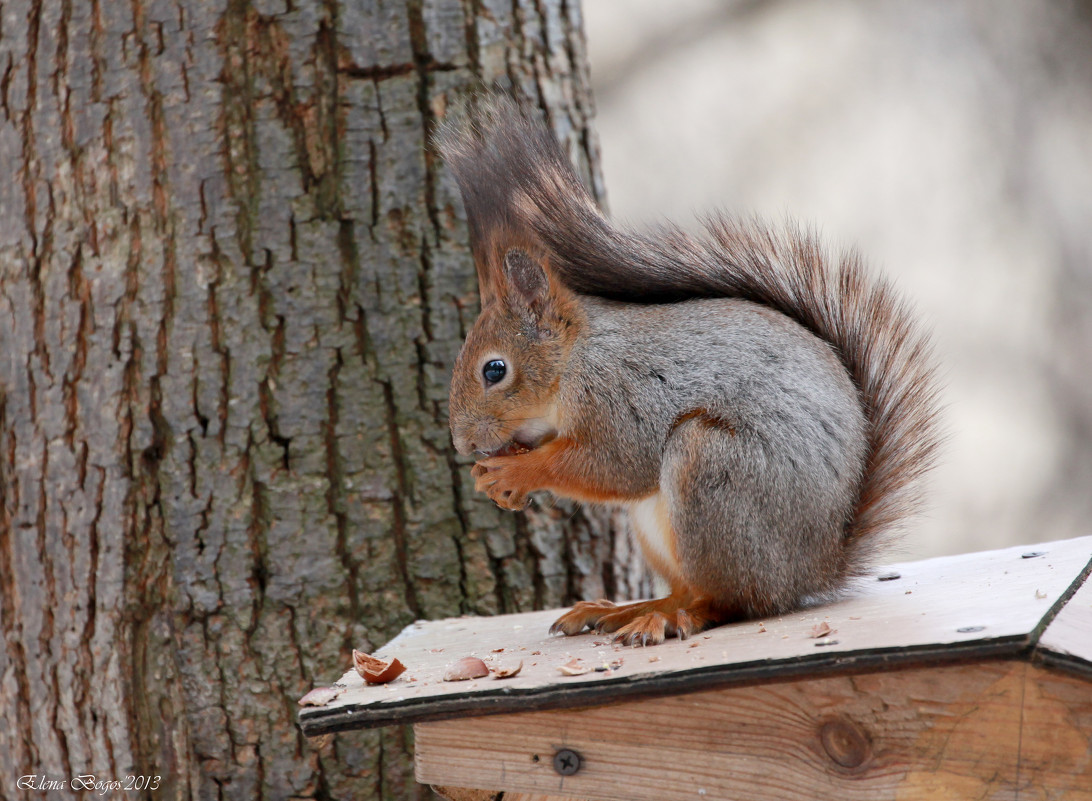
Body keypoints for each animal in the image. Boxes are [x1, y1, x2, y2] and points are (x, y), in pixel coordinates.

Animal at [434, 95, 939, 646]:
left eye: (494, 370)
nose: (462, 443)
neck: (577, 361)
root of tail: (813, 570)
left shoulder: (625, 396)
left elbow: (611, 464)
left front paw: (515, 471)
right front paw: (495, 475)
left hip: (713, 474)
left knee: (731, 601)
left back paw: (674, 618)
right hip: (659, 529)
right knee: (685, 589)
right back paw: (626, 609)